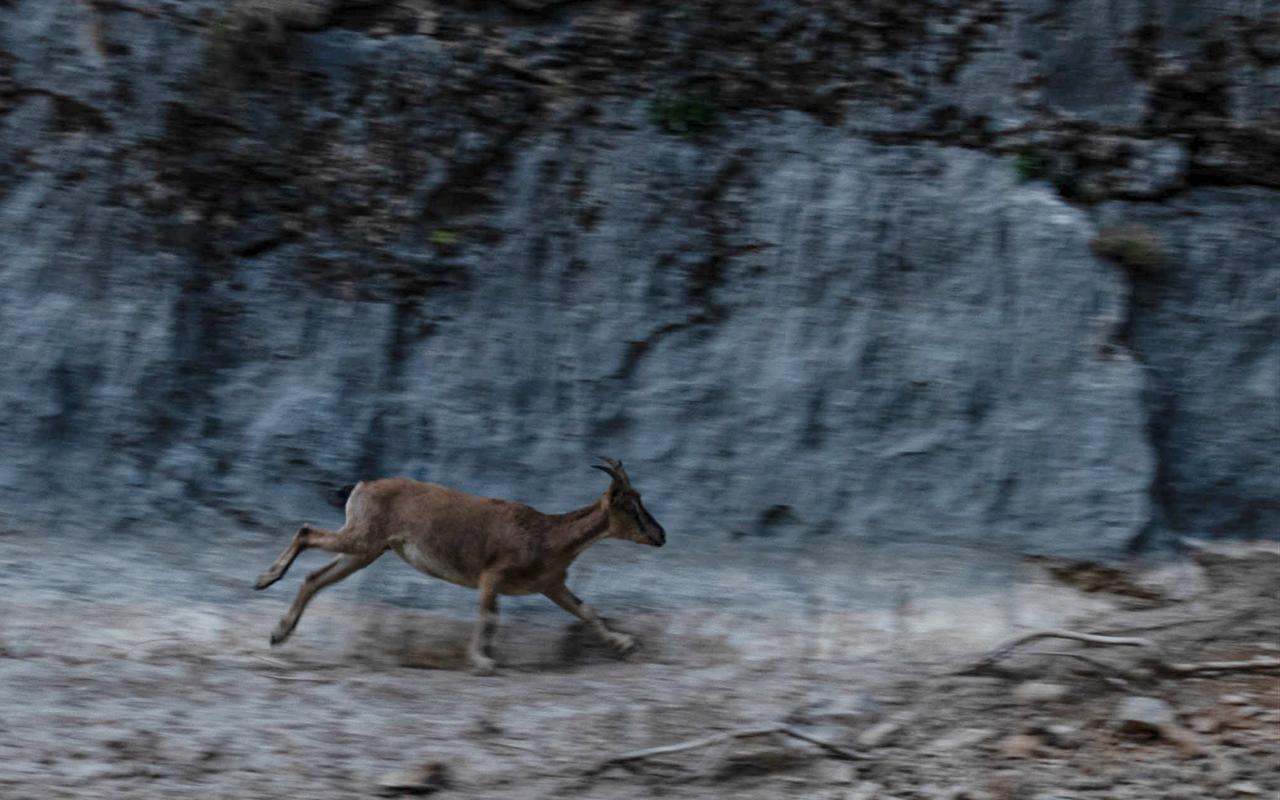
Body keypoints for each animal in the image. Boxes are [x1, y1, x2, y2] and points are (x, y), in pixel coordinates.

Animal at [253, 457, 666, 675]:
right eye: (631, 506)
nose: (660, 535)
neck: (546, 536)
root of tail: (361, 486)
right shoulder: (492, 575)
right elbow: (489, 617)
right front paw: (482, 660)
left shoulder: (551, 585)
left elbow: (589, 612)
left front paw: (627, 644)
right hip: (362, 539)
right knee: (306, 532)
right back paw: (264, 579)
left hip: (366, 551)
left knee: (315, 577)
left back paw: (278, 632)